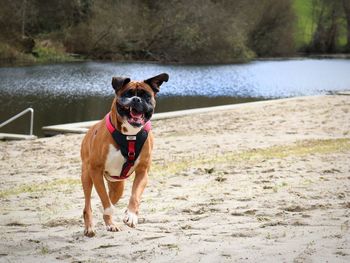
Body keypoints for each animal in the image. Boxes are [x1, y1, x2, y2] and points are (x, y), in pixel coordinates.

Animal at [82, 73, 170, 237]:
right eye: (127, 94)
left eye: (146, 96)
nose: (136, 99)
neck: (130, 136)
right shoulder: (95, 171)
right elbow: (105, 201)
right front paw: (110, 212)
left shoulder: (143, 172)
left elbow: (135, 196)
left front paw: (131, 215)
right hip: (86, 176)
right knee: (88, 204)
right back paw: (90, 227)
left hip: (117, 186)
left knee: (110, 197)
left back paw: (110, 224)